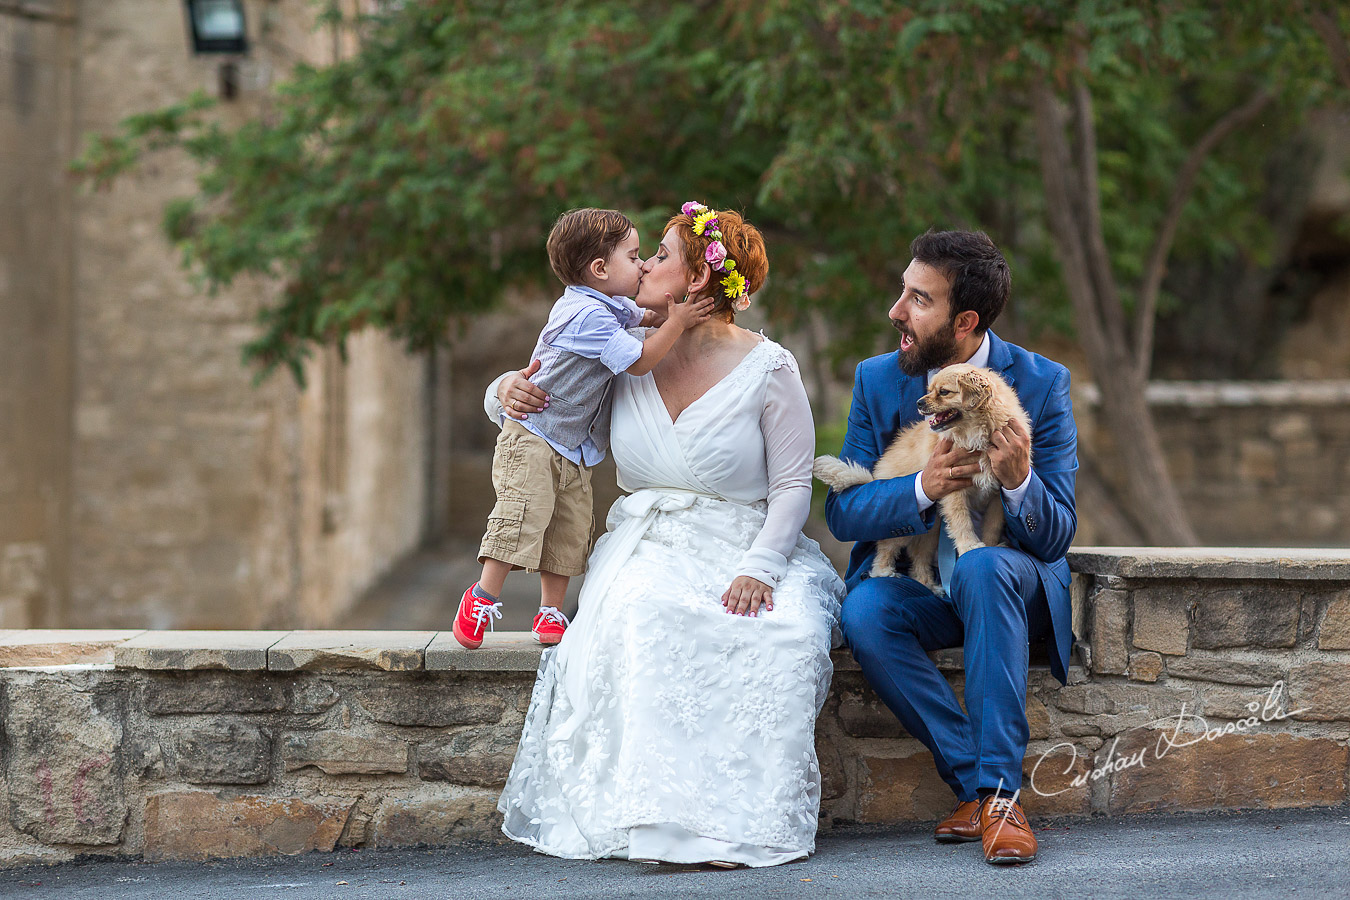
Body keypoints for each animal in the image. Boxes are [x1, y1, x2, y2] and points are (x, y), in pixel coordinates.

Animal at [815, 367, 1026, 591]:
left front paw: (990, 547)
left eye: (943, 392)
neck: (973, 434)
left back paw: (929, 585)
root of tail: (875, 478)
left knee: (919, 558)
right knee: (887, 549)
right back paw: (885, 572)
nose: (919, 403)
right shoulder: (954, 488)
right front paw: (969, 546)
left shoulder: (997, 495)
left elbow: (992, 527)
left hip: (930, 532)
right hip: (908, 528)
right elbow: (962, 520)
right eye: (930, 390)